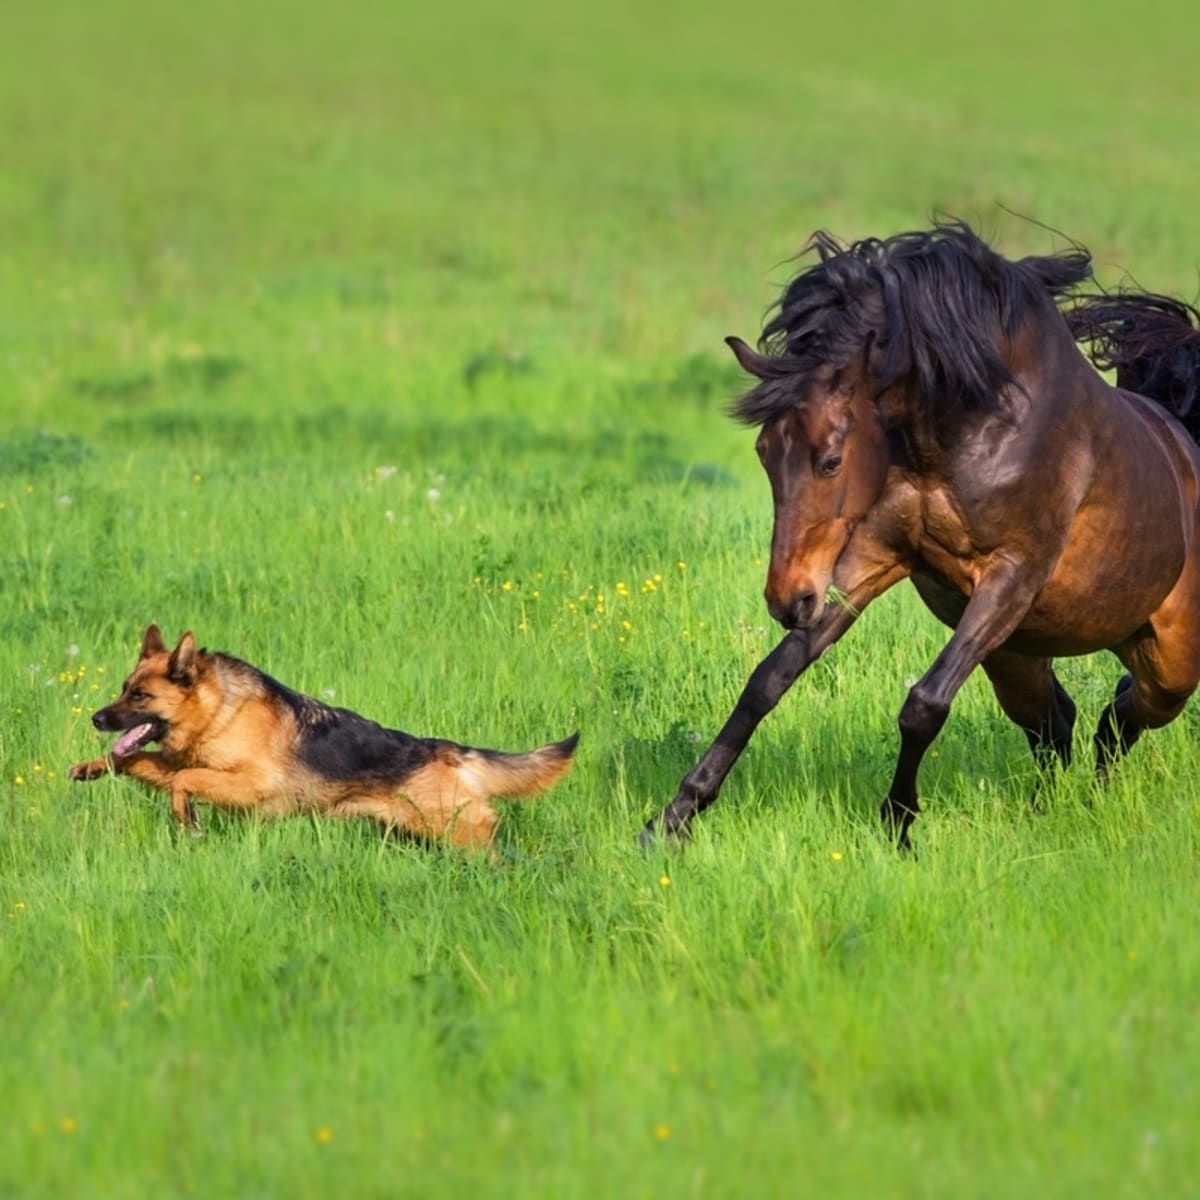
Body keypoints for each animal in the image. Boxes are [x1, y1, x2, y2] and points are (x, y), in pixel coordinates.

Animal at [68, 624, 578, 849]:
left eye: (140, 696)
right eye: (123, 688)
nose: (96, 719)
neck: (220, 712)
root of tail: (446, 751)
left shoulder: (253, 788)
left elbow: (182, 781)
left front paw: (186, 818)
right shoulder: (179, 761)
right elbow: (134, 762)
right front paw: (91, 767)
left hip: (459, 835)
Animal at [643, 220, 1200, 849]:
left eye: (830, 460)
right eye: (764, 451)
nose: (789, 600)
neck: (973, 431)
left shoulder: (1011, 577)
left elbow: (924, 704)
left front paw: (898, 823)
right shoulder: (868, 559)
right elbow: (766, 682)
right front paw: (670, 821)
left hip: (1169, 661)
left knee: (1122, 713)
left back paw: (1093, 796)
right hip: (1017, 656)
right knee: (1061, 720)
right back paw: (1054, 806)